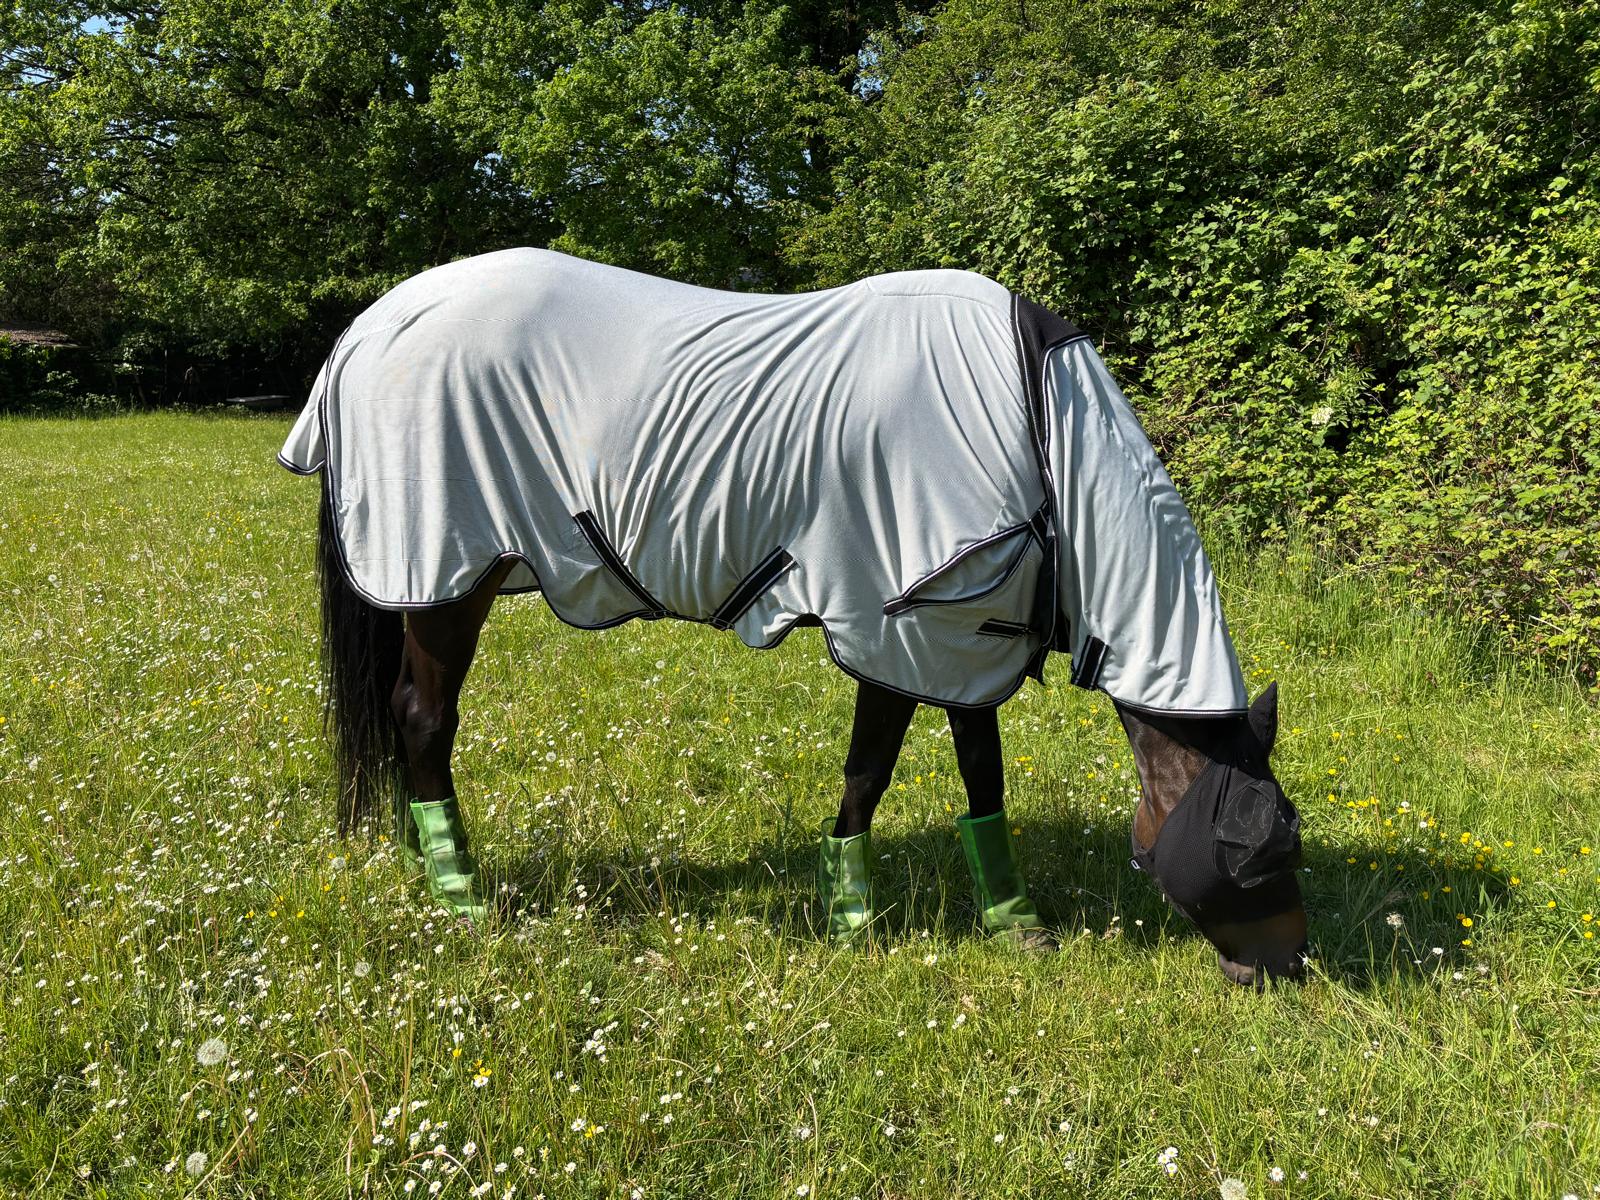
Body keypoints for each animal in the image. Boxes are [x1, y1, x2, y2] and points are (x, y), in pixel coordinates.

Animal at [282, 248, 1308, 986]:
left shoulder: (965, 636)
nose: (1286, 970)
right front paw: (851, 916)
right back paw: (458, 893)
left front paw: (1013, 919)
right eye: (1253, 855)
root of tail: (364, 330)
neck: (1035, 422)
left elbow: (981, 775)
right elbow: (870, 773)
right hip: (447, 575)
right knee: (423, 718)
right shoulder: (894, 628)